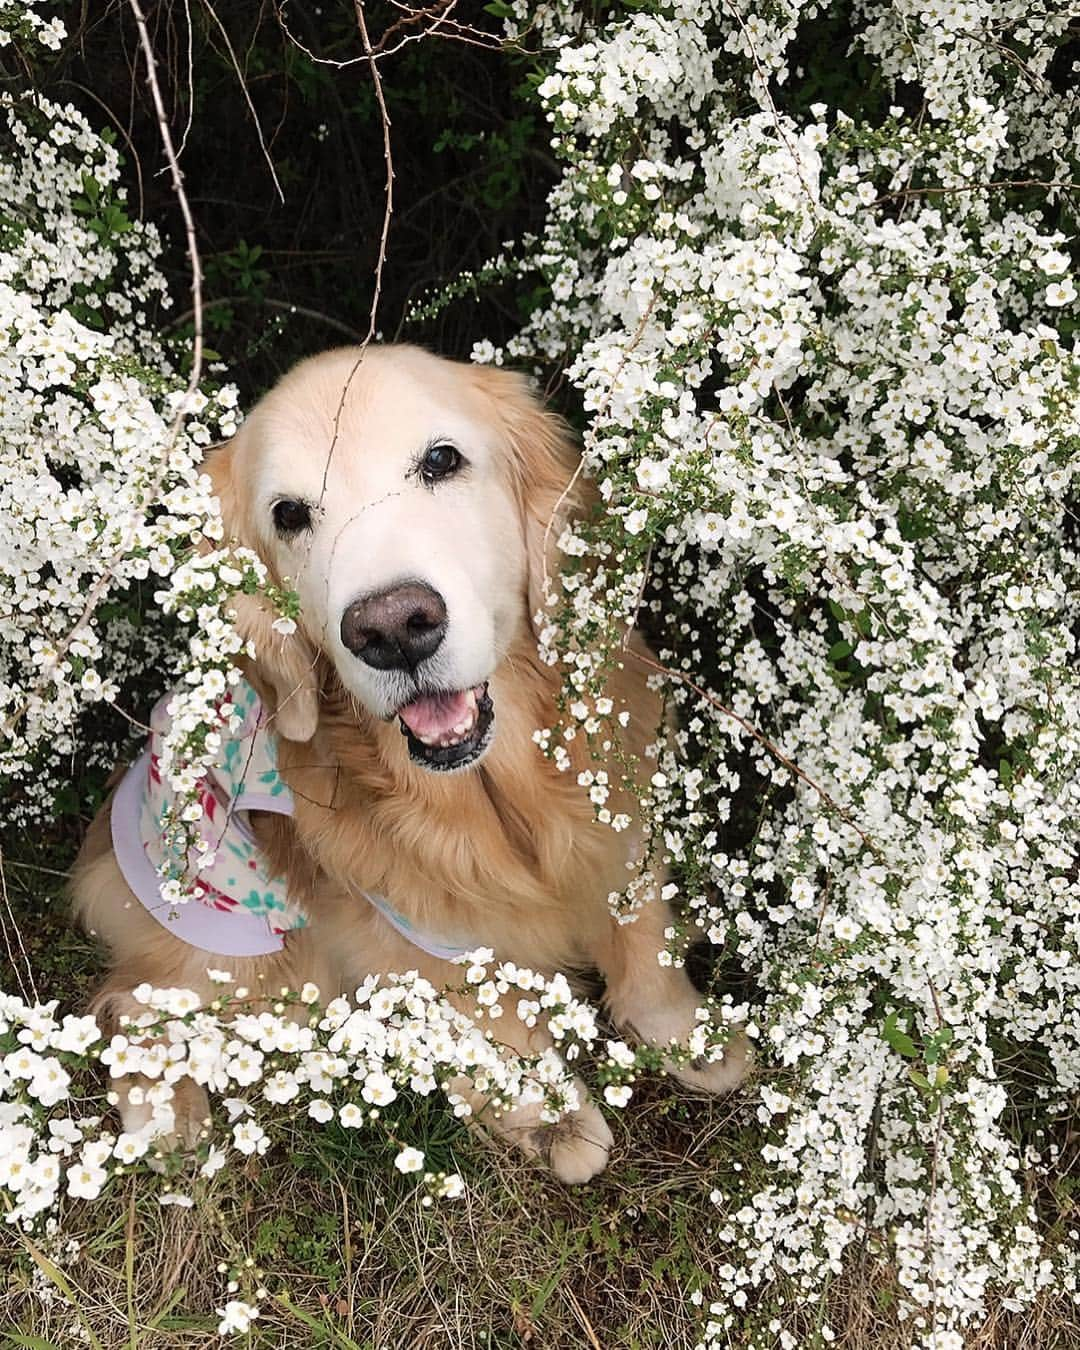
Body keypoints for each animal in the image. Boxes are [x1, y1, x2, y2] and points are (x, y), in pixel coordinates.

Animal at [73, 345, 750, 1182]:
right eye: (288, 515)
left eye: (441, 460)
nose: (393, 629)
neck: (497, 790)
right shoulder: (424, 930)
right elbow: (501, 1024)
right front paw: (551, 1117)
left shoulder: (624, 823)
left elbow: (645, 939)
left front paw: (689, 1033)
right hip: (245, 947)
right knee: (133, 1001)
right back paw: (167, 1115)